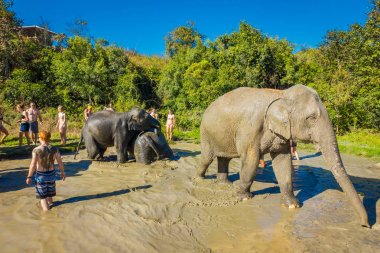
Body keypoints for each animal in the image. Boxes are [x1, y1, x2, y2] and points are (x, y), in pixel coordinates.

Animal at [197, 85, 370, 227]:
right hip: (205, 132)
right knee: (207, 158)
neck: (281, 94)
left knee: (224, 158)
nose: (365, 225)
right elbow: (251, 159)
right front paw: (244, 197)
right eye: (312, 118)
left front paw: (292, 206)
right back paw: (200, 180)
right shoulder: (250, 128)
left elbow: (283, 162)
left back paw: (225, 184)